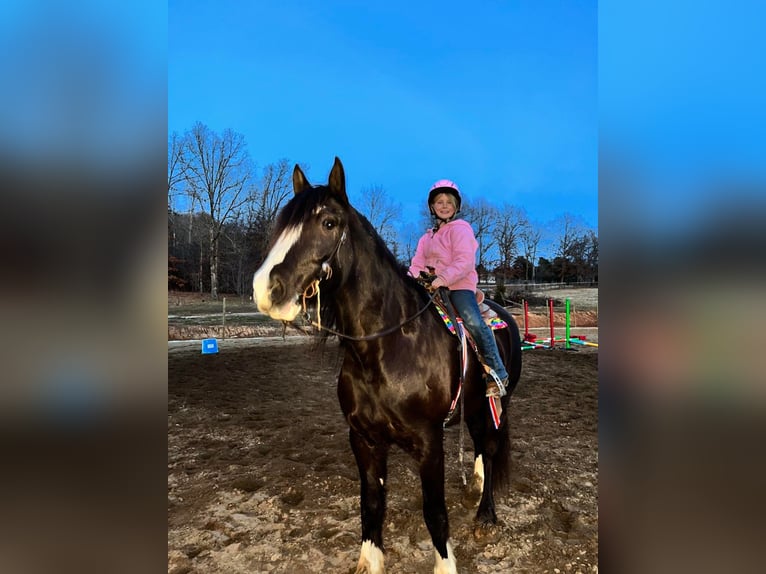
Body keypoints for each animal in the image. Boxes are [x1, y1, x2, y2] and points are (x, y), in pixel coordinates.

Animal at [255, 159, 524, 574]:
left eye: (329, 223)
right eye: (282, 223)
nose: (266, 290)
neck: (386, 348)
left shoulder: (429, 443)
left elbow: (434, 512)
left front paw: (445, 564)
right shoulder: (363, 439)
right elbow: (371, 503)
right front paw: (370, 560)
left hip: (498, 404)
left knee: (492, 449)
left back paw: (486, 517)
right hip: (477, 407)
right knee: (481, 445)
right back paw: (475, 490)